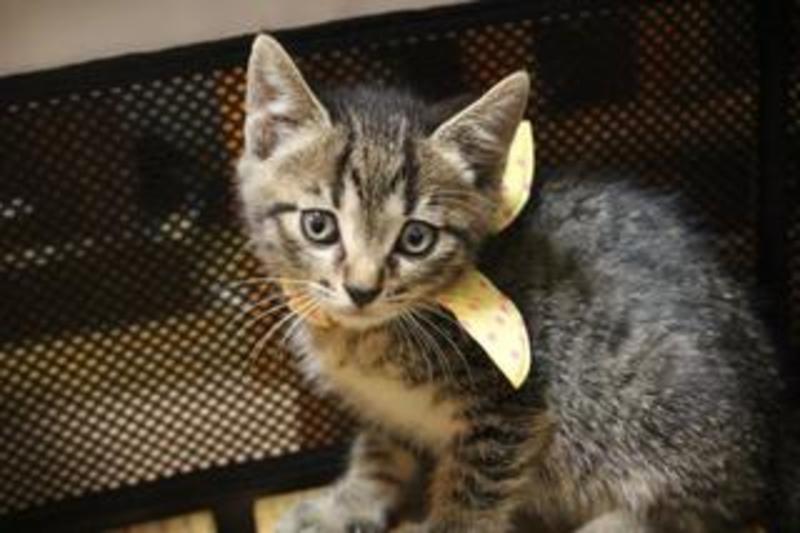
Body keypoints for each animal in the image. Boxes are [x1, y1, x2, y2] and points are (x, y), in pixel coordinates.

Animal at [236, 35, 781, 532]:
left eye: (416, 239)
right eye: (319, 225)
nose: (362, 290)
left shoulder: (510, 413)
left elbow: (470, 499)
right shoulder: (385, 407)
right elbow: (380, 449)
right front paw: (344, 504)